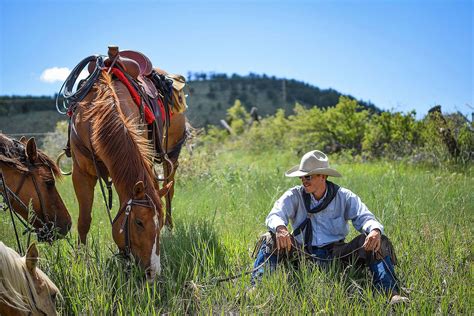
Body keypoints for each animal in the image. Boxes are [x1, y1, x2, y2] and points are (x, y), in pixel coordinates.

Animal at [69, 71, 164, 282]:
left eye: (160, 224)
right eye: (139, 223)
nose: (153, 273)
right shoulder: (81, 174)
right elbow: (84, 221)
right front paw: (80, 263)